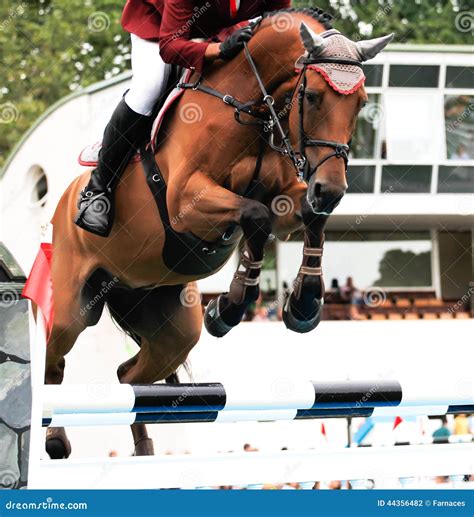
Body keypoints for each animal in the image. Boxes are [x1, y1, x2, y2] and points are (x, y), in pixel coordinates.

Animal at [43, 9, 392, 456]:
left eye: (362, 102)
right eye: (312, 96)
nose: (331, 189)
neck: (252, 108)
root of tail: (62, 204)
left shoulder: (287, 199)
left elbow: (304, 218)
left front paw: (303, 304)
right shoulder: (185, 203)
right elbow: (255, 216)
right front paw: (230, 306)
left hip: (170, 328)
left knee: (127, 377)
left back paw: (144, 450)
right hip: (73, 306)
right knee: (54, 360)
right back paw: (56, 439)